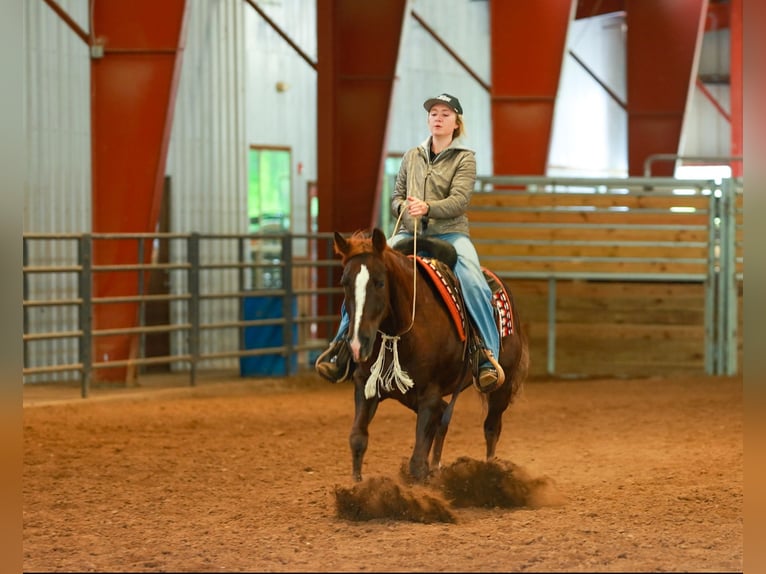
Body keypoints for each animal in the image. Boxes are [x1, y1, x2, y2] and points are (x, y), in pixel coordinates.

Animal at [331, 227, 529, 483]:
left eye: (379, 282)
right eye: (344, 282)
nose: (357, 343)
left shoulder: (430, 394)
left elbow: (417, 461)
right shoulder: (365, 385)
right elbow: (358, 438)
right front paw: (356, 486)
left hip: (501, 387)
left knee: (491, 427)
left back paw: (490, 471)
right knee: (444, 418)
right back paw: (437, 466)